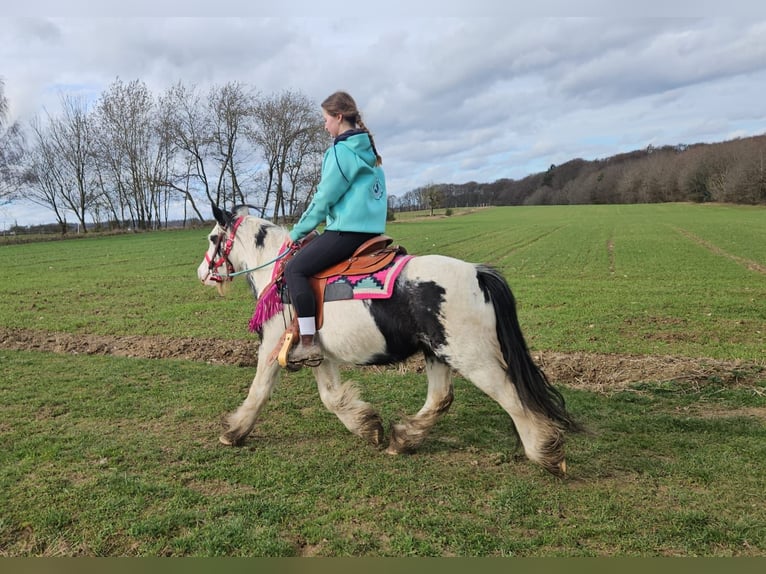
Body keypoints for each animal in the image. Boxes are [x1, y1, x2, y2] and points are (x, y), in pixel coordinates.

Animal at [197, 204, 581, 476]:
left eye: (213, 239)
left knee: (513, 399)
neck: (277, 273)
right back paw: (404, 438)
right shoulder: (317, 354)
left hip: (471, 358)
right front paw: (368, 427)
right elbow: (331, 397)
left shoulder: (274, 344)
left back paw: (545, 453)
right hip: (437, 352)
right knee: (441, 398)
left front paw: (233, 432)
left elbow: (260, 390)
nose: (202, 273)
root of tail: (476, 273)